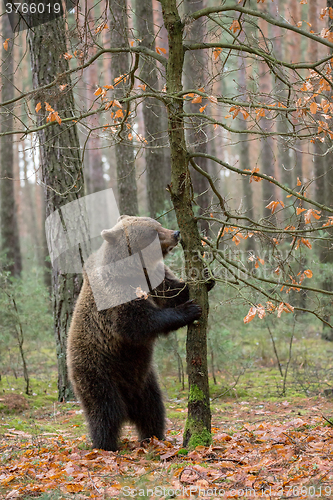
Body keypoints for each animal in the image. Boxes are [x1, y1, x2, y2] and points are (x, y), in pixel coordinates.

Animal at [67, 217, 213, 452]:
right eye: (153, 232)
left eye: (157, 223)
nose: (176, 233)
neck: (132, 270)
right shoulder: (115, 295)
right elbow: (137, 323)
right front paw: (190, 310)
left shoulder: (155, 278)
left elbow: (172, 292)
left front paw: (206, 277)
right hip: (98, 371)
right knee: (105, 411)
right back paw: (105, 445)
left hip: (145, 380)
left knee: (152, 409)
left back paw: (154, 437)